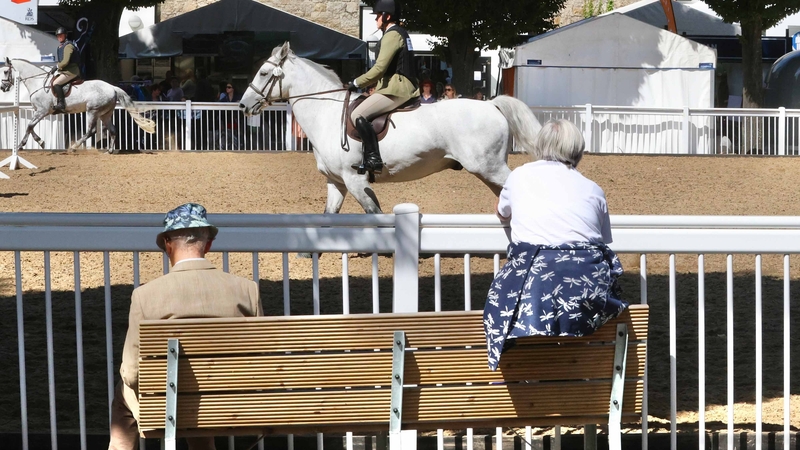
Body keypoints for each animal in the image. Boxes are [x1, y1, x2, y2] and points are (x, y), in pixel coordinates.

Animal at [1, 58, 155, 154]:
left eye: (5, 71)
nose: (3, 87)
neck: (38, 82)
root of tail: (112, 87)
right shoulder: (38, 111)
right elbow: (31, 127)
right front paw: (40, 142)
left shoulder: (42, 111)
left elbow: (29, 126)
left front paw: (20, 145)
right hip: (105, 114)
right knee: (112, 130)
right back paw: (109, 151)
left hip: (92, 111)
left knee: (90, 131)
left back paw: (74, 147)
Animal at [239, 42, 541, 214]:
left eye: (264, 73)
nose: (243, 105)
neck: (327, 113)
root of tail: (492, 105)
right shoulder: (337, 182)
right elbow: (329, 215)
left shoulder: (355, 180)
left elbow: (375, 215)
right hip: (487, 171)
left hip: (489, 167)